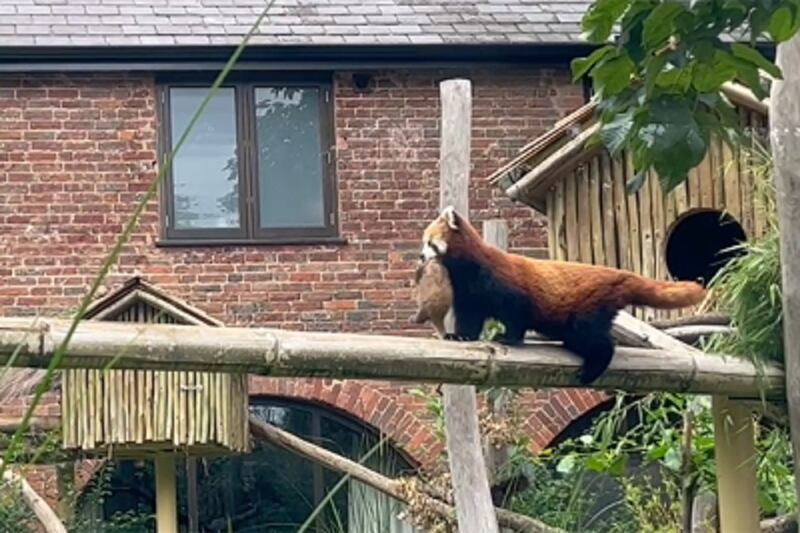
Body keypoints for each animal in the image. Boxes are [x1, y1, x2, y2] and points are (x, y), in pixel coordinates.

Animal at [422, 206, 704, 384]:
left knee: (597, 339)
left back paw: (595, 366)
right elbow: (469, 318)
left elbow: (516, 313)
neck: (468, 269)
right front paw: (459, 336)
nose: (421, 256)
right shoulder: (468, 295)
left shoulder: (504, 283)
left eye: (429, 243)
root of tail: (618, 274)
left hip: (590, 306)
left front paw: (508, 337)